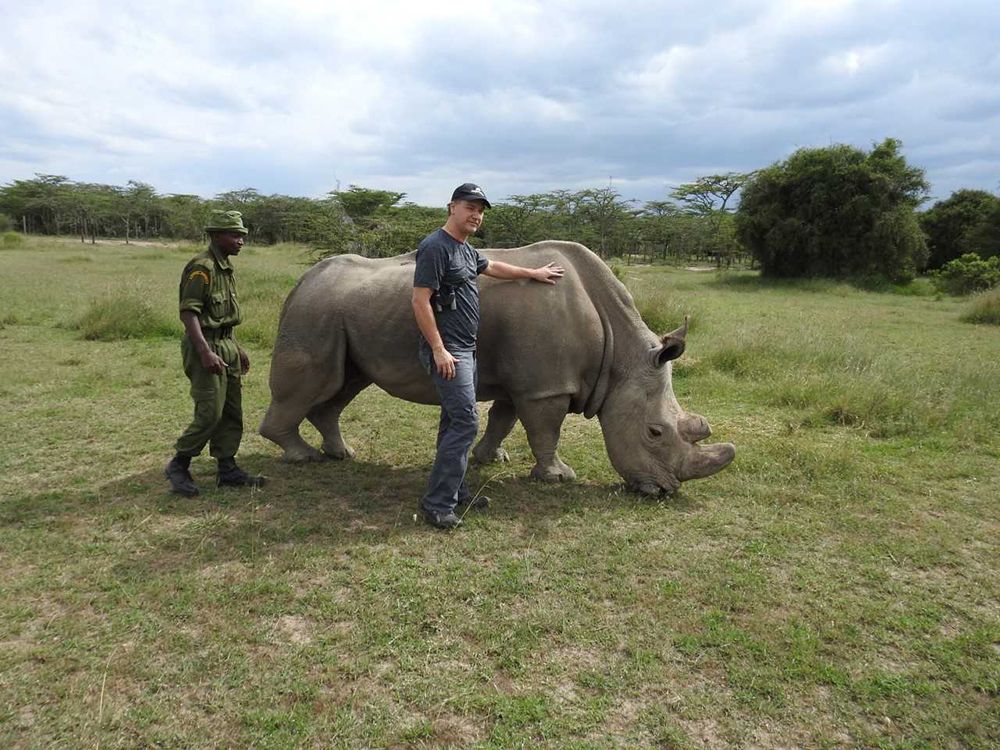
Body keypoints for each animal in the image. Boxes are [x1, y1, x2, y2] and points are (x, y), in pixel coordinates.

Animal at [260, 244, 736, 496]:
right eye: (655, 433)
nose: (664, 491)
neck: (622, 354)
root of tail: (301, 282)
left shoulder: (525, 380)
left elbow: (504, 420)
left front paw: (489, 458)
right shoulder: (546, 386)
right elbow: (545, 429)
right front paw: (558, 477)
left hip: (343, 312)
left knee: (344, 386)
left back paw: (341, 453)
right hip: (316, 311)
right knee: (316, 384)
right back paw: (302, 457)